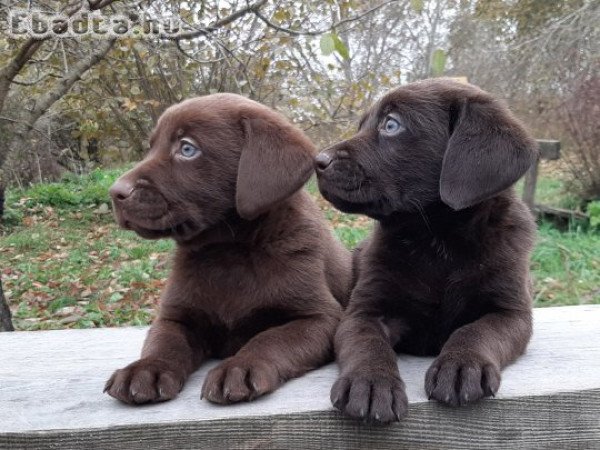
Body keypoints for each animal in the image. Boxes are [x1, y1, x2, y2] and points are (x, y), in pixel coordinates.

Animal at [105, 93, 352, 406]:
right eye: (151, 147)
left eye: (187, 148)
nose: (115, 192)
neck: (226, 251)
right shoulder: (175, 316)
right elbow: (164, 341)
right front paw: (147, 370)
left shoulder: (319, 317)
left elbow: (270, 338)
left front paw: (240, 367)